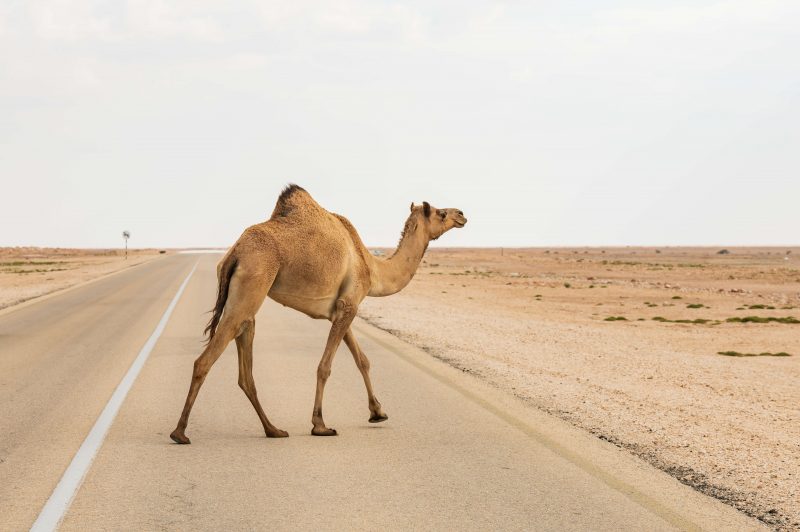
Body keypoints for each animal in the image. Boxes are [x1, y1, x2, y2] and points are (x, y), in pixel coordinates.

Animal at [170, 185, 468, 442]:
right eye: (441, 213)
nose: (462, 214)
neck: (371, 267)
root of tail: (234, 253)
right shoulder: (349, 305)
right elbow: (325, 366)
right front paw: (320, 425)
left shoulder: (341, 309)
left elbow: (362, 360)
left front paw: (378, 412)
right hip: (253, 283)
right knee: (205, 360)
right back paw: (180, 432)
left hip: (245, 302)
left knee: (245, 369)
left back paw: (273, 430)